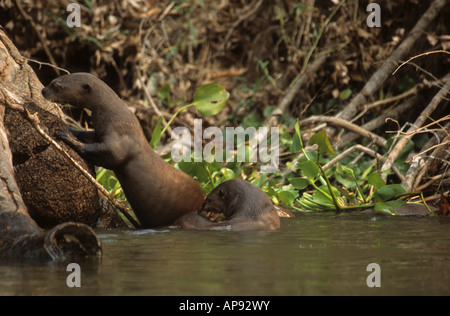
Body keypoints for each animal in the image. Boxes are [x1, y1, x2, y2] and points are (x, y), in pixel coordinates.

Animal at [41, 73, 204, 228]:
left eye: (57, 85)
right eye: (51, 81)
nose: (43, 91)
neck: (117, 119)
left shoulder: (117, 146)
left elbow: (102, 154)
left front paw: (65, 135)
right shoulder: (99, 134)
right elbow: (86, 135)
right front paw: (66, 125)